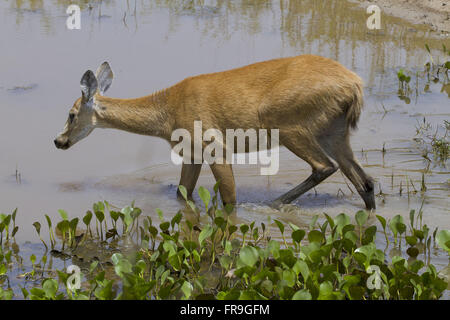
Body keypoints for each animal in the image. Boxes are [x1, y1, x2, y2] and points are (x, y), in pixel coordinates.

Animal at [53, 55, 376, 210]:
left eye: (71, 114)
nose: (59, 140)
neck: (167, 113)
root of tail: (354, 85)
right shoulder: (191, 154)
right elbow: (182, 195)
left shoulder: (214, 146)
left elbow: (229, 200)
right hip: (334, 131)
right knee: (365, 181)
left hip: (289, 125)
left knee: (325, 167)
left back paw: (273, 204)